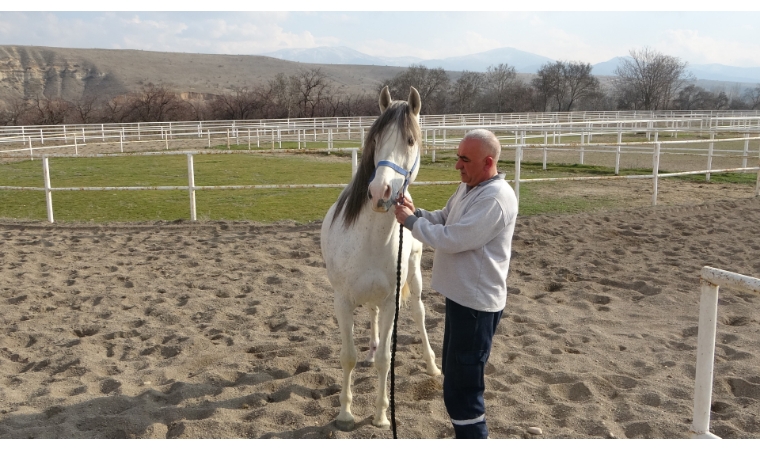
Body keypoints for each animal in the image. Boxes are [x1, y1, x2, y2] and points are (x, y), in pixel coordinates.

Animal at [320, 86, 440, 430]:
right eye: (375, 138)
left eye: (410, 140)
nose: (379, 191)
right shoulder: (342, 300)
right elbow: (347, 356)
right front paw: (345, 414)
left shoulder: (391, 302)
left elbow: (387, 359)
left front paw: (381, 415)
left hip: (414, 277)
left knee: (420, 314)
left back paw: (432, 365)